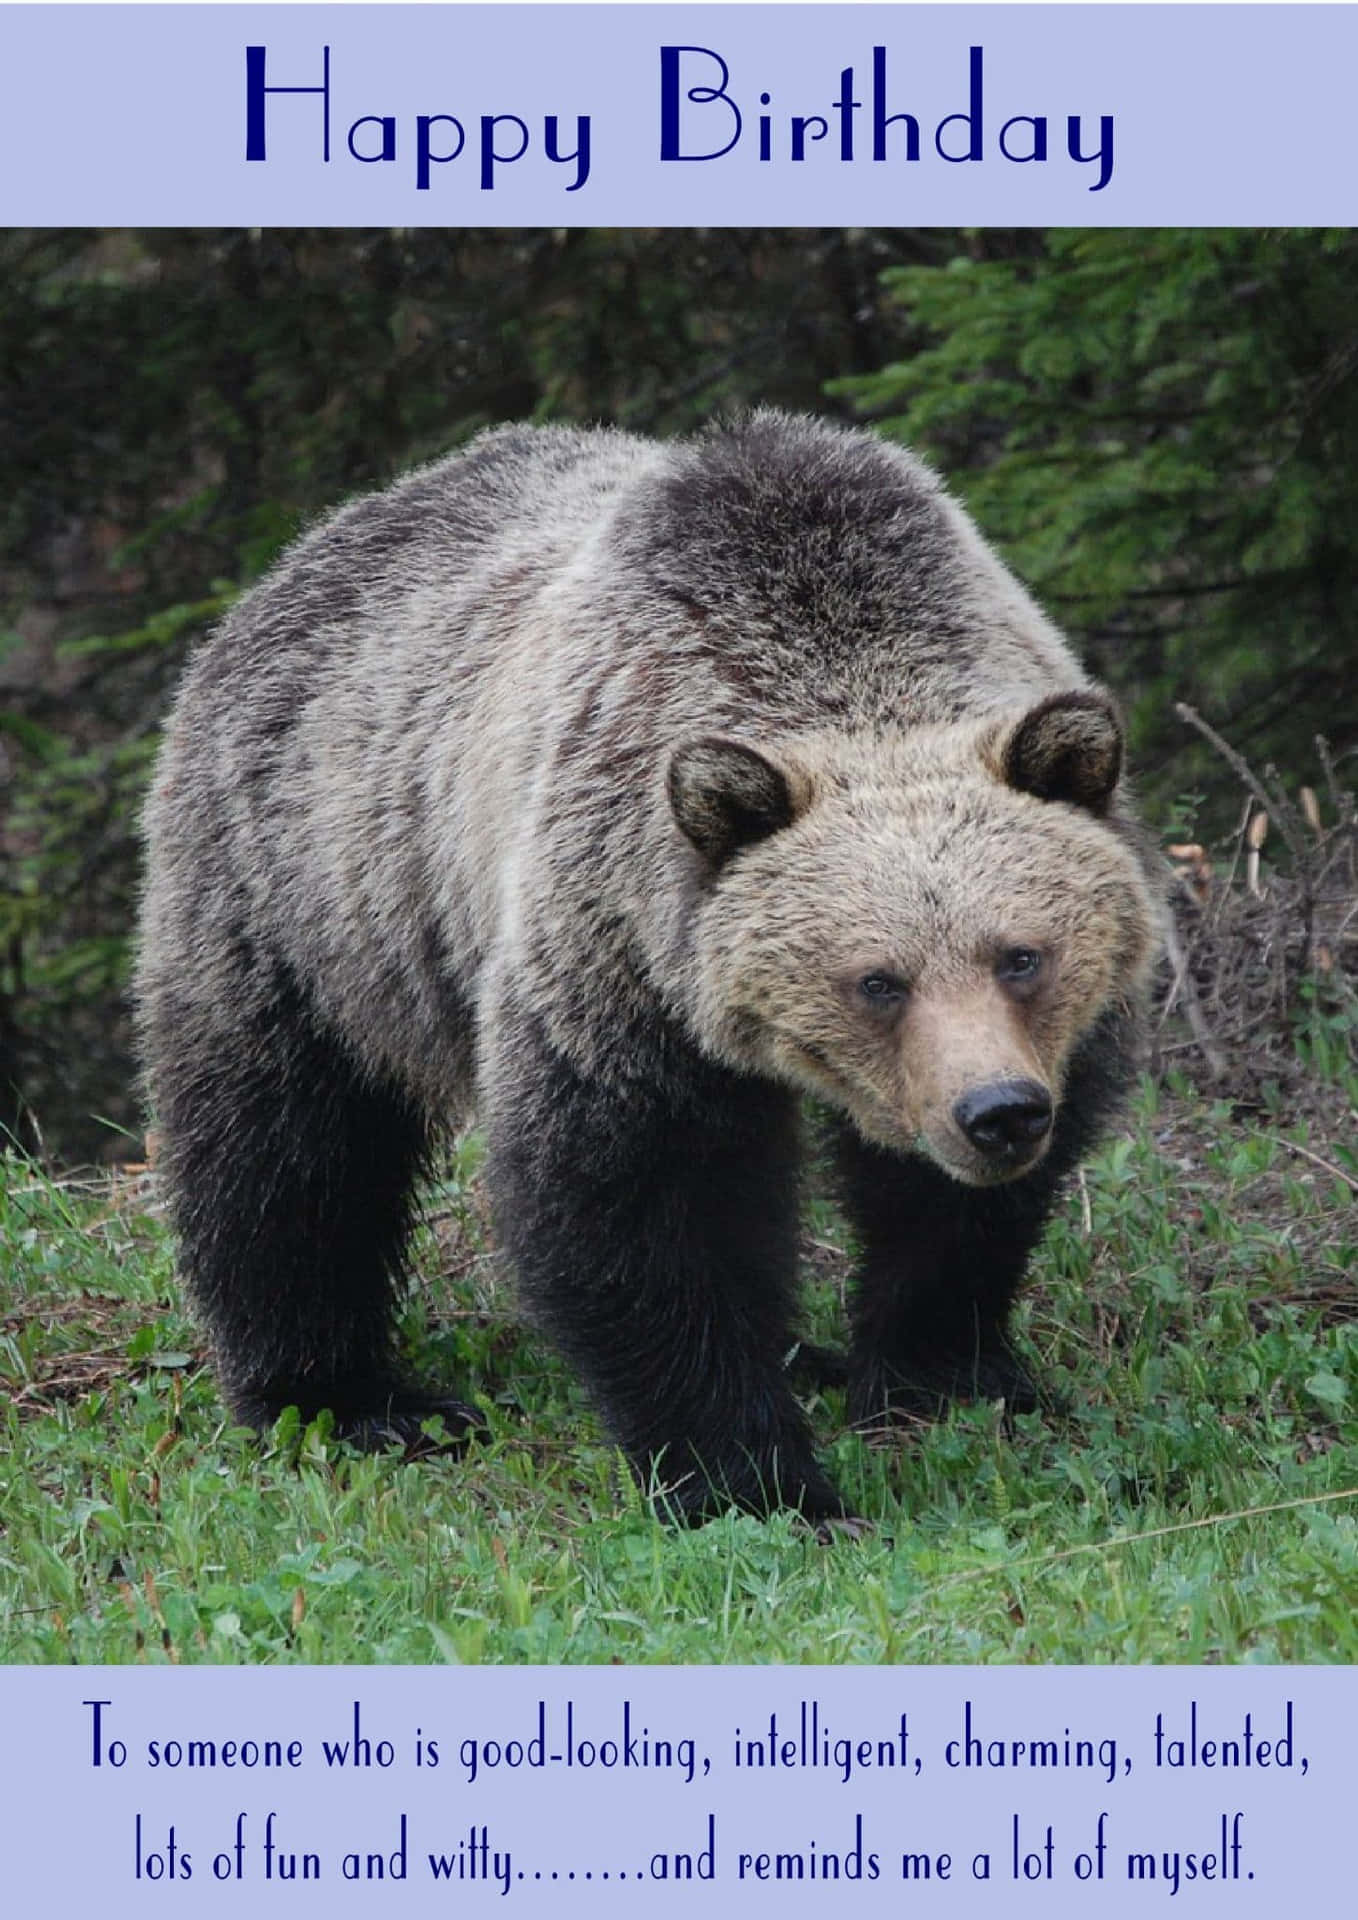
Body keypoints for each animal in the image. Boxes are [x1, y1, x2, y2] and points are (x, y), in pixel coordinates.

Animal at [135, 412, 1162, 1528]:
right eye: (876, 980)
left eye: (1021, 955)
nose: (996, 1113)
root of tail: (302, 553)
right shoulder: (615, 949)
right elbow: (644, 1202)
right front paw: (759, 1482)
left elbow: (949, 1215)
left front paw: (945, 1377)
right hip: (307, 889)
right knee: (287, 1145)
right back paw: (350, 1397)